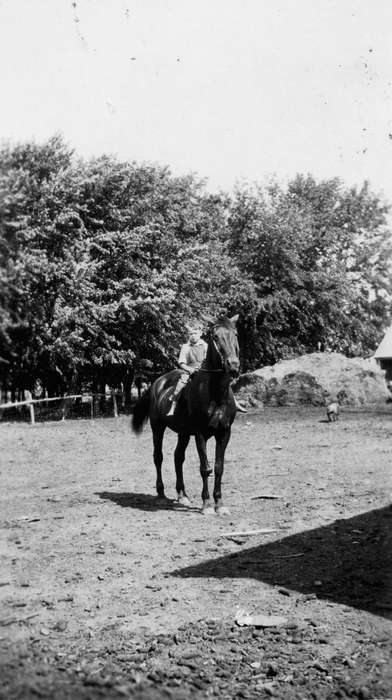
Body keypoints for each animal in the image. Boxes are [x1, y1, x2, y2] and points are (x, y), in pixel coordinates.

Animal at [133, 316, 240, 516]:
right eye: (215, 336)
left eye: (235, 334)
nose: (233, 365)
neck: (216, 394)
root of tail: (156, 384)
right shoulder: (200, 434)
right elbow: (205, 468)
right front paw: (207, 505)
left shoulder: (224, 433)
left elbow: (219, 467)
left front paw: (219, 504)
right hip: (157, 427)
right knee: (158, 457)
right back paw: (161, 494)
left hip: (183, 433)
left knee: (178, 457)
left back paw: (182, 494)